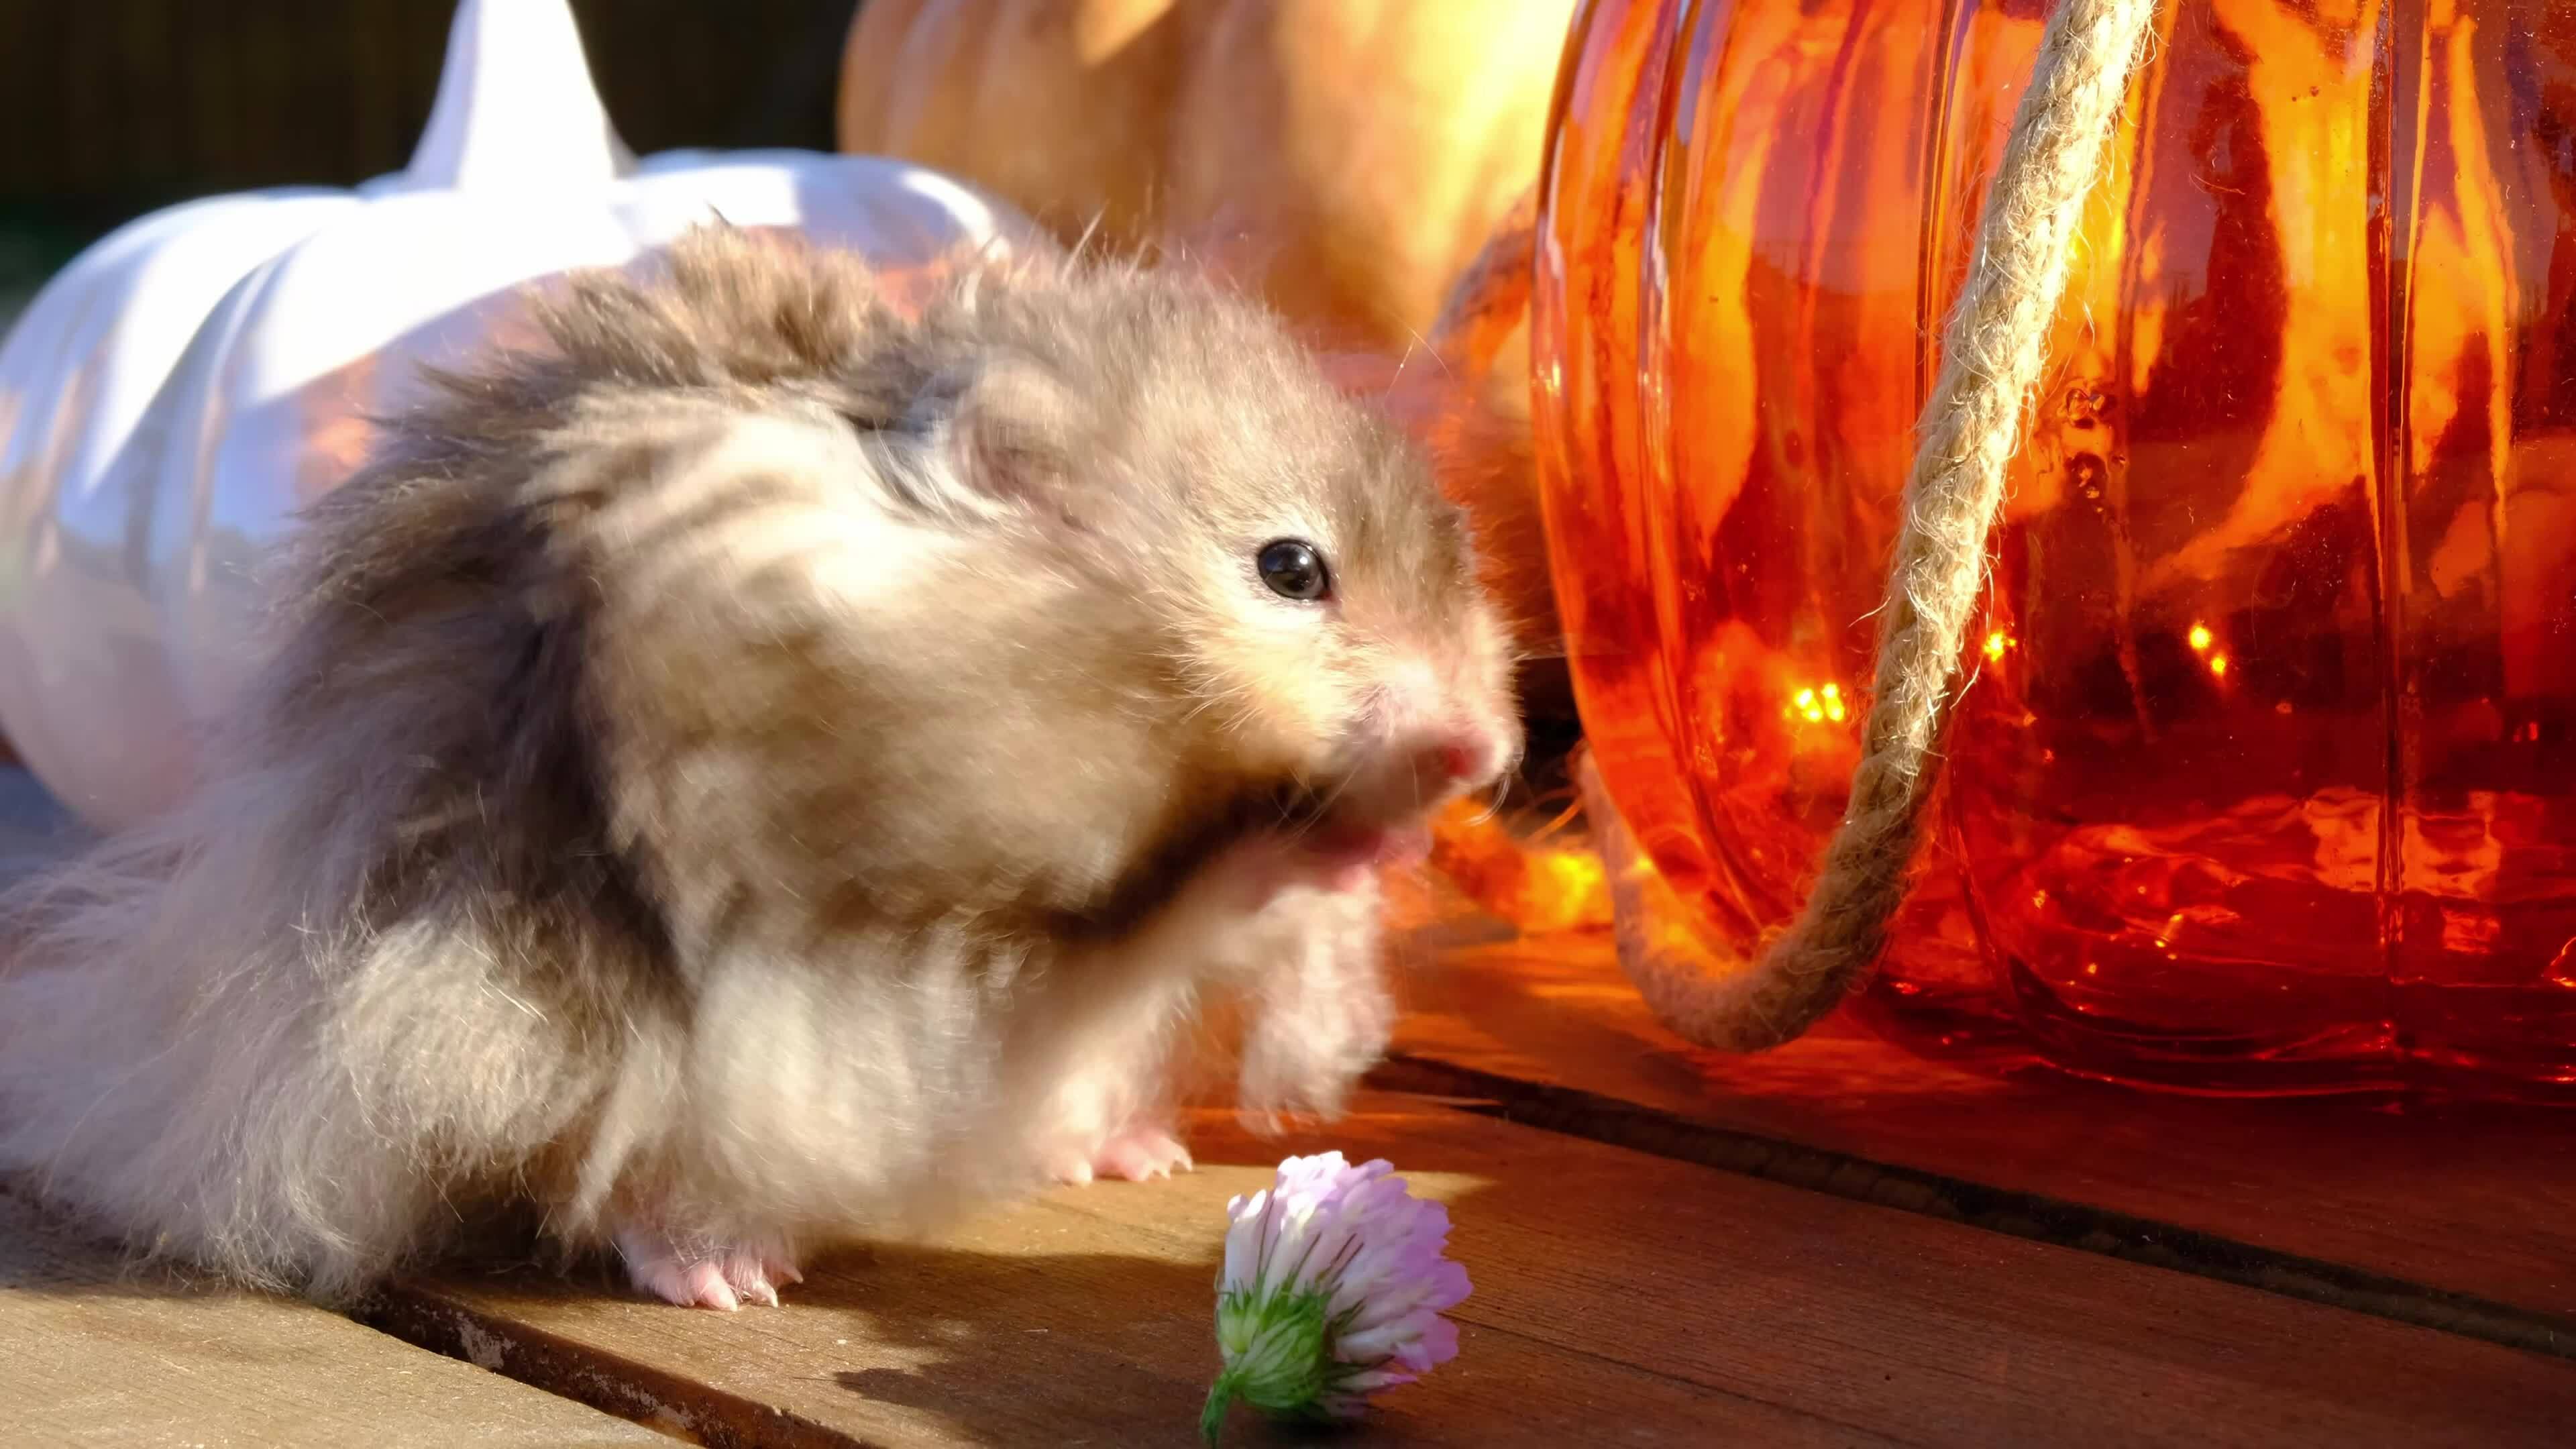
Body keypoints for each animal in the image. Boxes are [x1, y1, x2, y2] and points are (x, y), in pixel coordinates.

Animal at [0, 227, 1521, 1310]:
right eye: (1291, 569)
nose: (1489, 748)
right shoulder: (935, 857)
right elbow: (1157, 903)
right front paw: (1333, 850)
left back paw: (1120, 1145)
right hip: (549, 1029)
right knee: (612, 1155)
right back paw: (725, 1275)